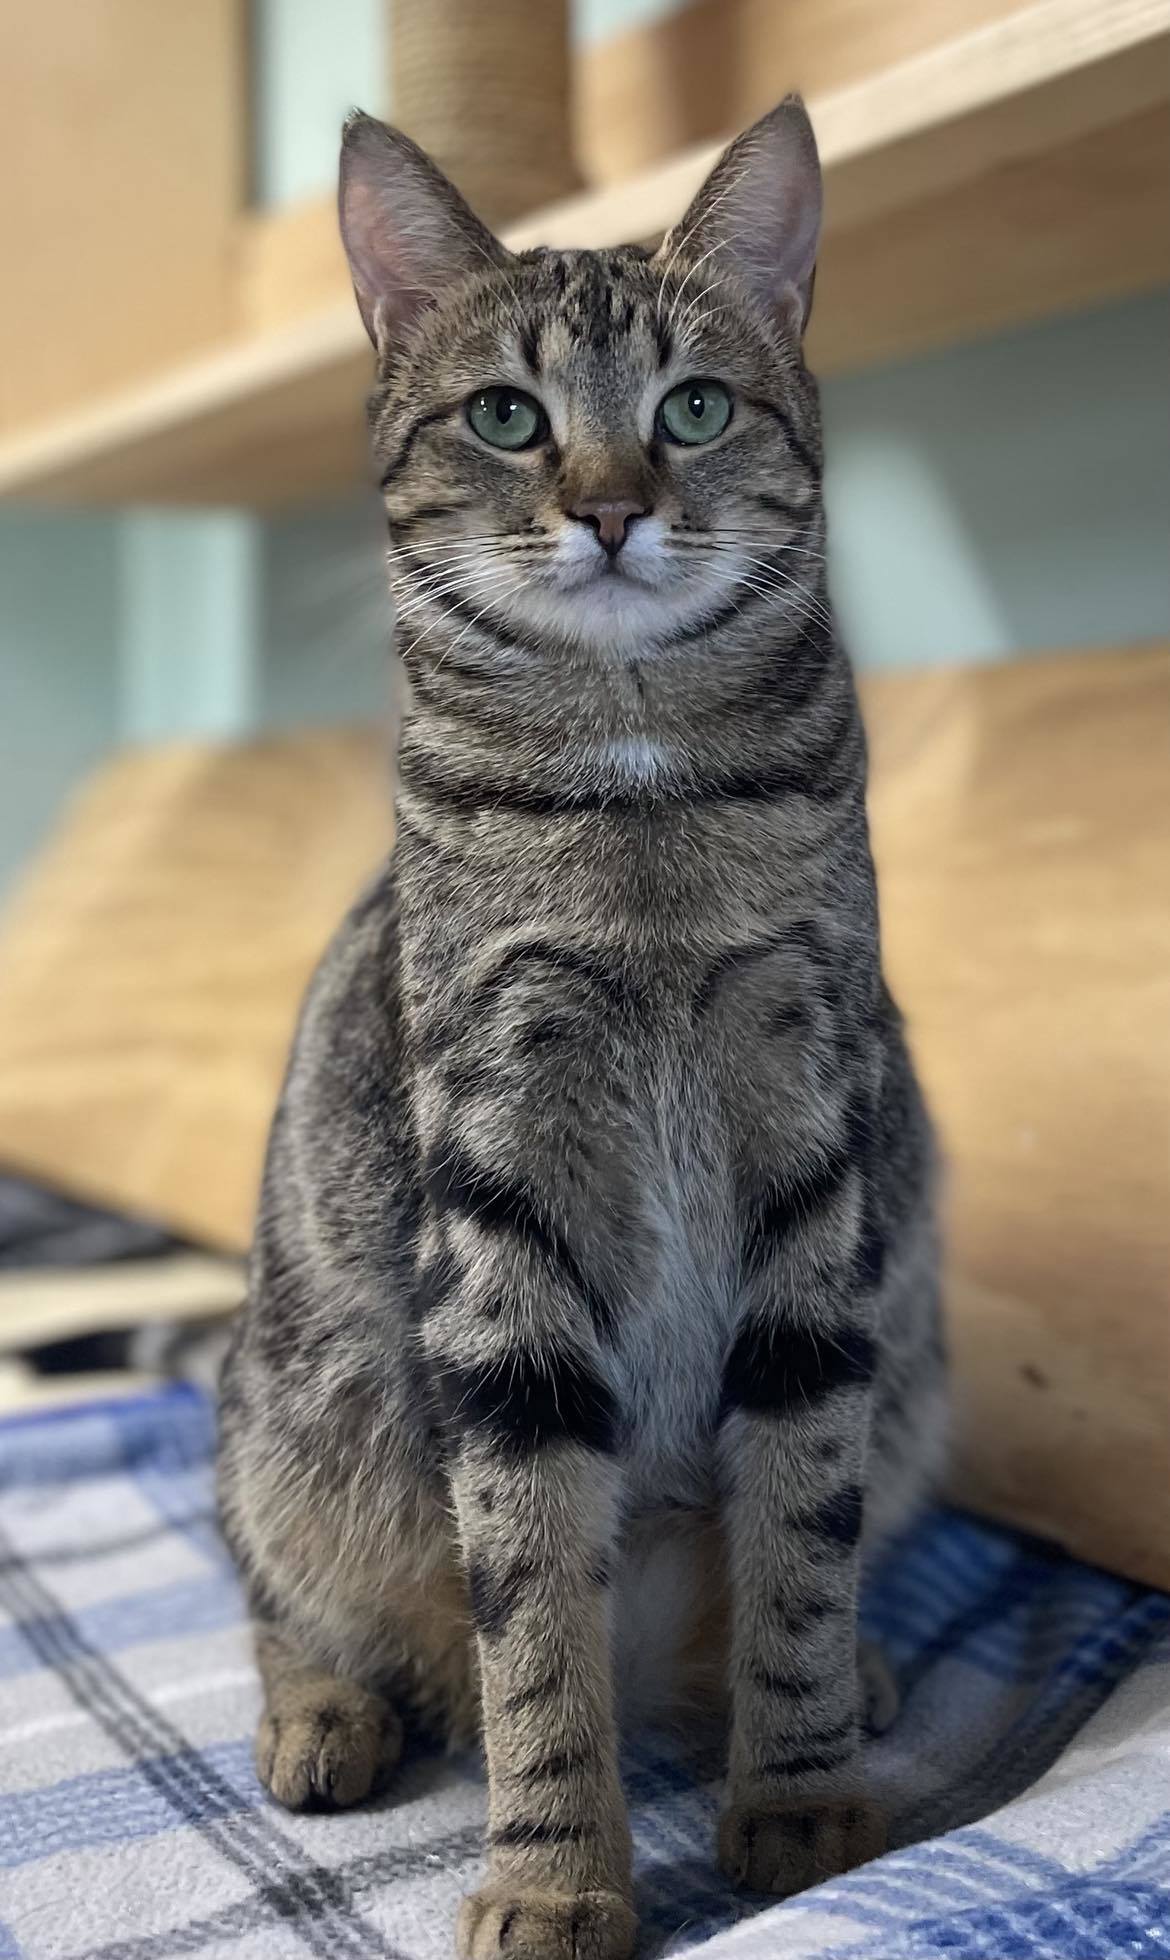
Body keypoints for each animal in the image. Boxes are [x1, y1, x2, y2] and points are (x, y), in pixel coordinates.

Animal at [219, 99, 944, 1960]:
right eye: (505, 415)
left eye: (691, 405)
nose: (611, 507)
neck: (640, 803)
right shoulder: (500, 1195)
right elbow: (532, 1601)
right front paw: (555, 1875)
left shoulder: (810, 1136)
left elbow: (801, 1529)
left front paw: (802, 1792)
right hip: (293, 1418)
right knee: (282, 1586)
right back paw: (325, 1716)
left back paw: (859, 1680)